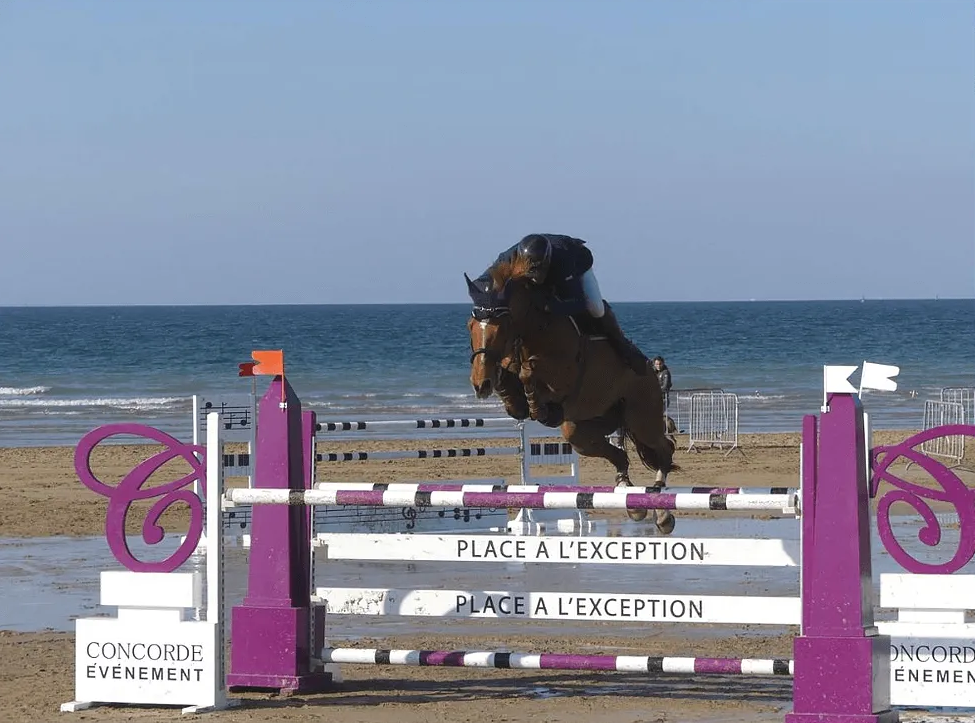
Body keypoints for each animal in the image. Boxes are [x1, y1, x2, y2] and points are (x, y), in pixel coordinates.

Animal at [465, 259, 679, 535]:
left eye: (500, 328)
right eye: (470, 327)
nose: (480, 384)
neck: (534, 327)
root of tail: (651, 370)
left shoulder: (563, 374)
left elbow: (527, 372)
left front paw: (537, 408)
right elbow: (512, 380)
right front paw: (512, 397)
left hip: (642, 418)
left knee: (664, 450)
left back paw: (662, 513)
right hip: (580, 432)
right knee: (619, 455)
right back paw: (631, 501)